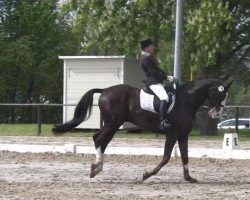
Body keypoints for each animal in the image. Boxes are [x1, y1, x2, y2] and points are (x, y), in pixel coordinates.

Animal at [52, 77, 232, 183]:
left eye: (225, 96)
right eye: (220, 94)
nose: (217, 113)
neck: (186, 101)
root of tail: (104, 91)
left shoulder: (183, 135)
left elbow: (185, 156)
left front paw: (188, 177)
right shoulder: (172, 134)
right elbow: (166, 157)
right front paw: (146, 175)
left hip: (112, 125)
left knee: (102, 141)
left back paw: (97, 168)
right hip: (113, 124)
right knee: (98, 138)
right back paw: (95, 167)